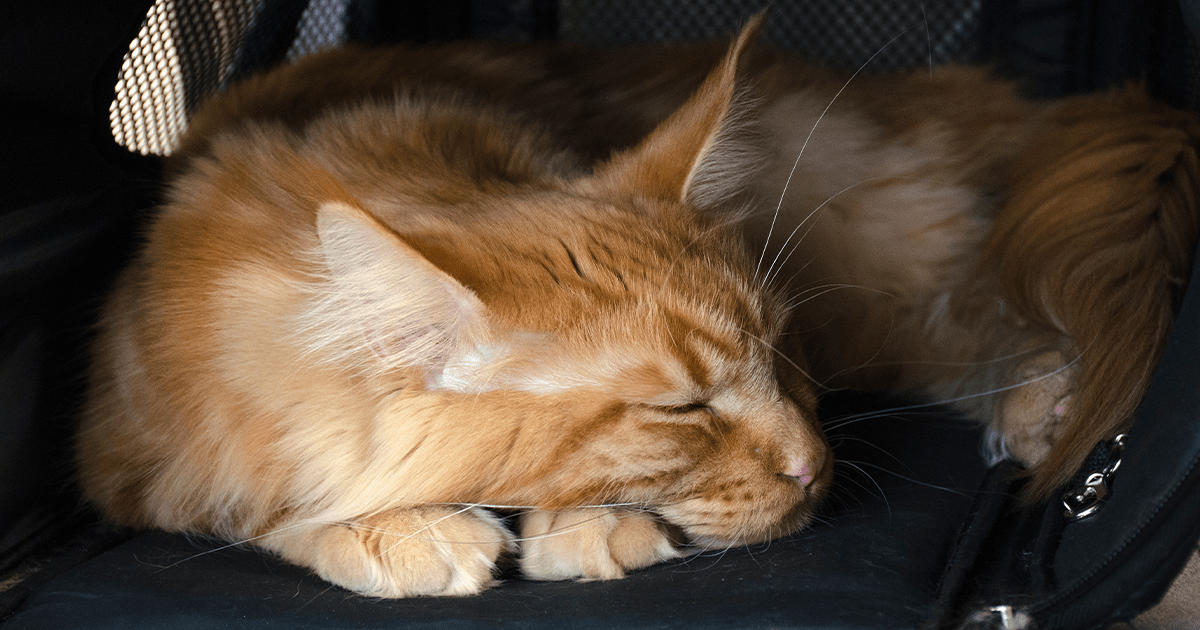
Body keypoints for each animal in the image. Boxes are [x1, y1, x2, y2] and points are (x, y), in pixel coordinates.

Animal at [79, 13, 1200, 595]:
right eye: (682, 410)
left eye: (779, 356)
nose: (816, 466)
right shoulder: (136, 460)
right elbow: (248, 502)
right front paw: (396, 528)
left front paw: (587, 526)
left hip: (872, 279)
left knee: (995, 312)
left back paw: (1049, 406)